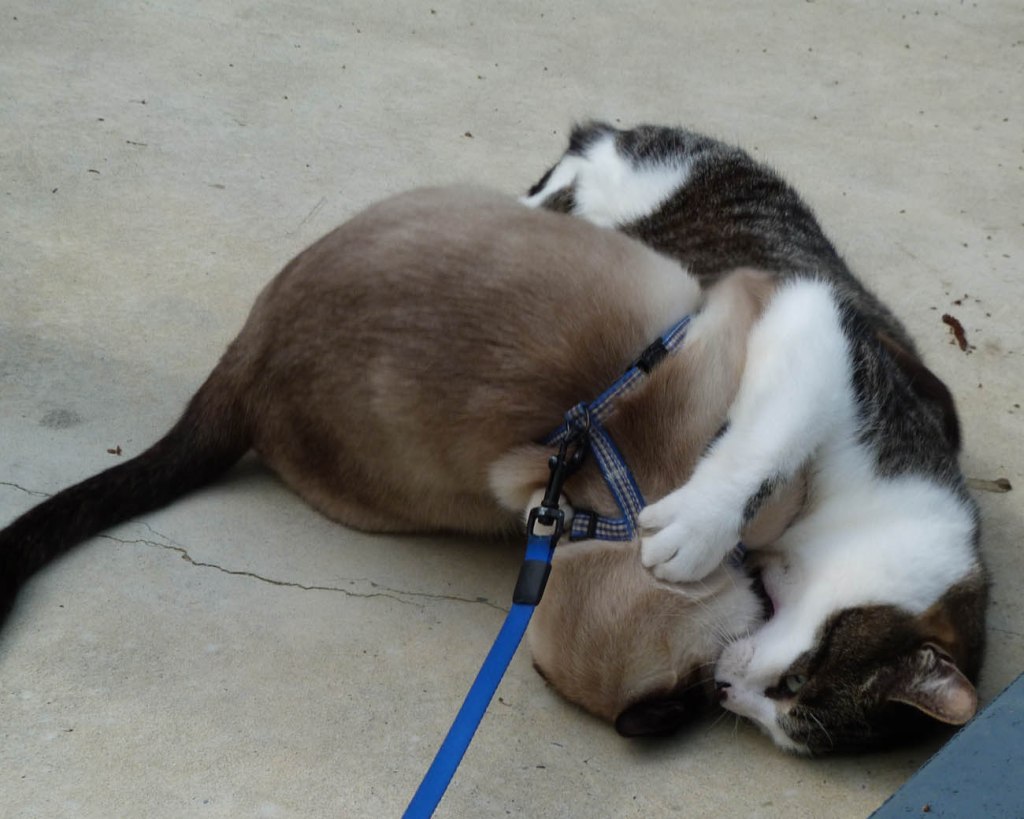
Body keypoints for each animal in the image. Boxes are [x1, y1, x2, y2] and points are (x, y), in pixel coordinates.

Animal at [523, 122, 988, 753]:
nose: (727, 694)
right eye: (795, 682)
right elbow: (777, 431)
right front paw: (699, 525)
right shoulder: (817, 317)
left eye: (785, 724)